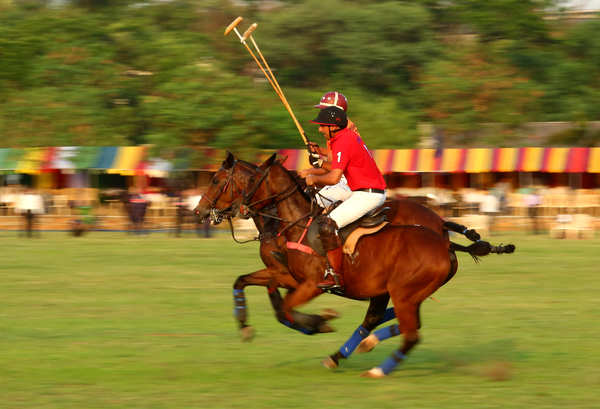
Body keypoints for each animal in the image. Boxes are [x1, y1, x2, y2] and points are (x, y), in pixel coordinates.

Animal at [196, 153, 516, 376]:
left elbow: (284, 308)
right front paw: (245, 326)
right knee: (389, 320)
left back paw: (375, 367)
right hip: (397, 291)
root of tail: (445, 239)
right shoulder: (288, 275)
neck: (291, 221)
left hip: (401, 292)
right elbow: (247, 283)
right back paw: (348, 352)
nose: (199, 212)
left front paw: (320, 322)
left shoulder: (312, 283)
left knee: (408, 329)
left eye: (216, 180)